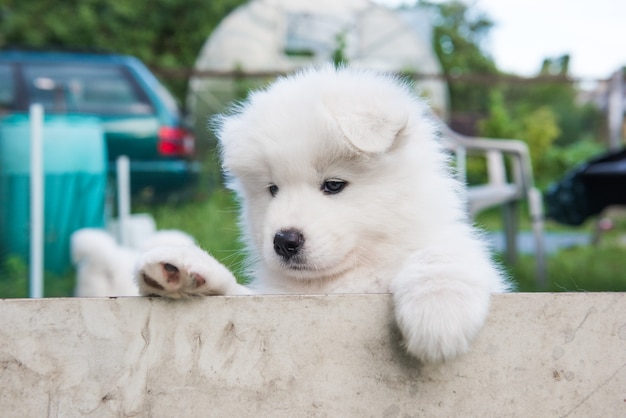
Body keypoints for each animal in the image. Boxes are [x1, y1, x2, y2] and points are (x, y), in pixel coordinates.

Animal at [133, 66, 508, 362]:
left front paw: (438, 312)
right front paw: (187, 272)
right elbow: (240, 295)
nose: (284, 241)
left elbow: (442, 254)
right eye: (273, 189)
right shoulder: (276, 299)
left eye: (333, 185)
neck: (340, 280)